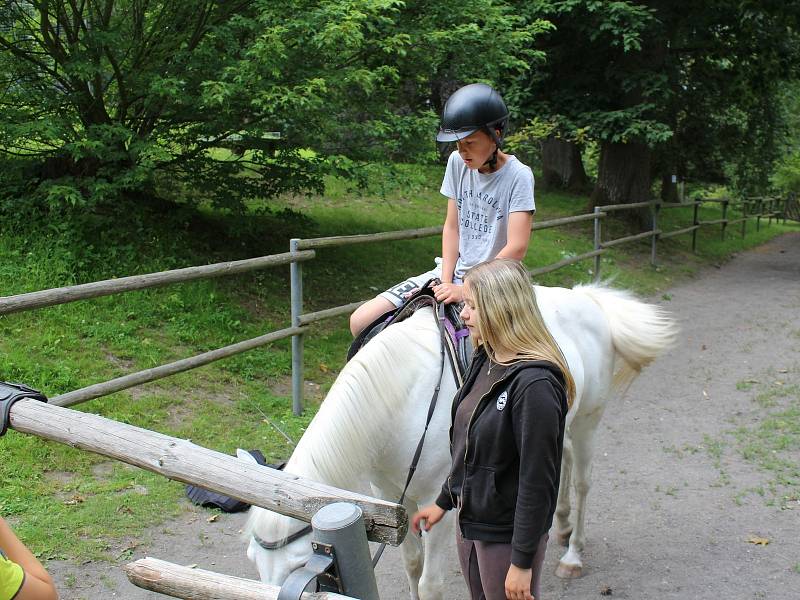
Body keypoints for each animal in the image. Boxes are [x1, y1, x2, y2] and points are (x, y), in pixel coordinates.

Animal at [244, 284, 676, 596]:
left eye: (303, 569)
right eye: (252, 561)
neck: (400, 395)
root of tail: (587, 298)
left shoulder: (436, 498)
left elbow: (430, 583)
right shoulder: (389, 495)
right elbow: (411, 565)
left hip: (589, 419)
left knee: (584, 481)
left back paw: (573, 555)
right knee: (562, 462)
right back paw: (564, 525)